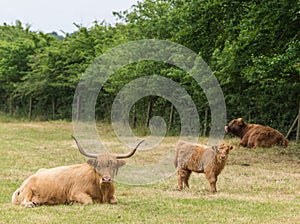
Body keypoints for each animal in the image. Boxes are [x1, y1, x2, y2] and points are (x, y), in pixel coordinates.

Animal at [13, 136, 145, 208]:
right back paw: (31, 204)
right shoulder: (76, 192)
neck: (103, 191)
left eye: (113, 165)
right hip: (28, 191)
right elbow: (89, 201)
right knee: (24, 201)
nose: (106, 179)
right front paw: (73, 203)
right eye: (98, 165)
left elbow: (114, 201)